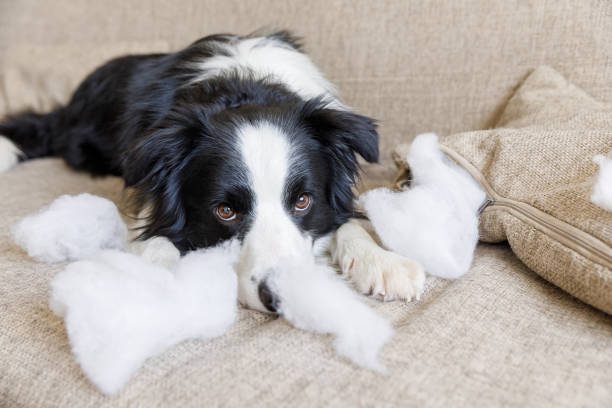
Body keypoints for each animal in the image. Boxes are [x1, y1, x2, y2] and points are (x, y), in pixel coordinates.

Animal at [0, 31, 426, 310]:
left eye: (303, 201)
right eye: (225, 211)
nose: (283, 298)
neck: (245, 88)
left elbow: (347, 222)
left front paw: (383, 262)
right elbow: (155, 236)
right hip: (80, 140)